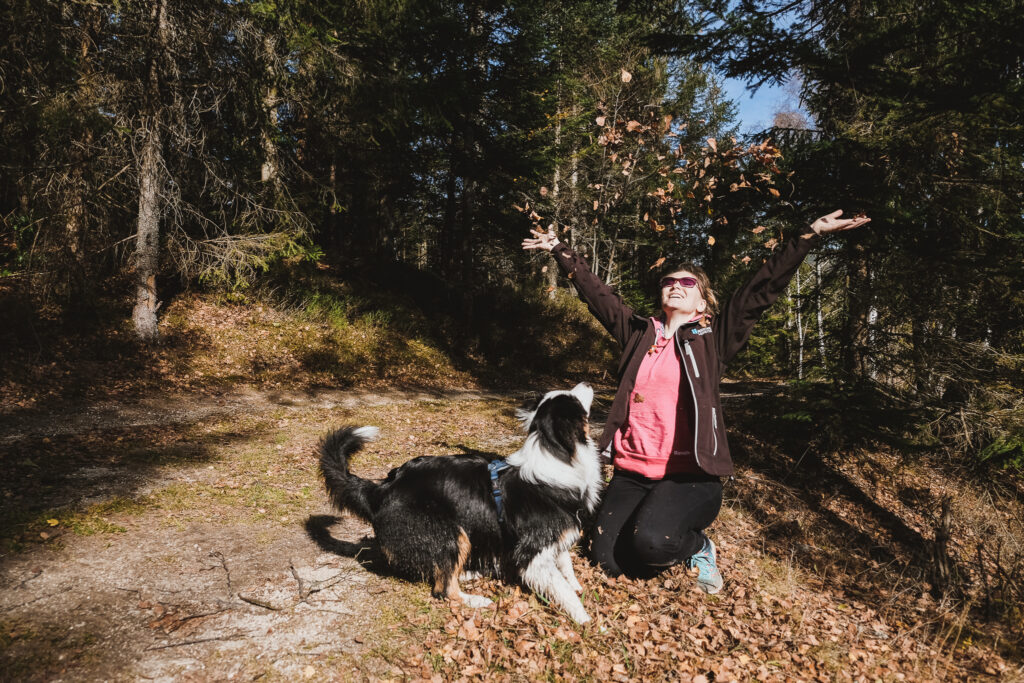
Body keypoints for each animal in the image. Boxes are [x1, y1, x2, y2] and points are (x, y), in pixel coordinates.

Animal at [317, 385, 598, 626]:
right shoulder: (533, 553)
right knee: (444, 589)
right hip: (452, 534)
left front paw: (576, 585)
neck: (557, 454)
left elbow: (565, 563)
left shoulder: (556, 536)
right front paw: (586, 620)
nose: (587, 383)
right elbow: (561, 588)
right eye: (575, 398)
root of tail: (383, 488)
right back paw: (476, 599)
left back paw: (473, 573)